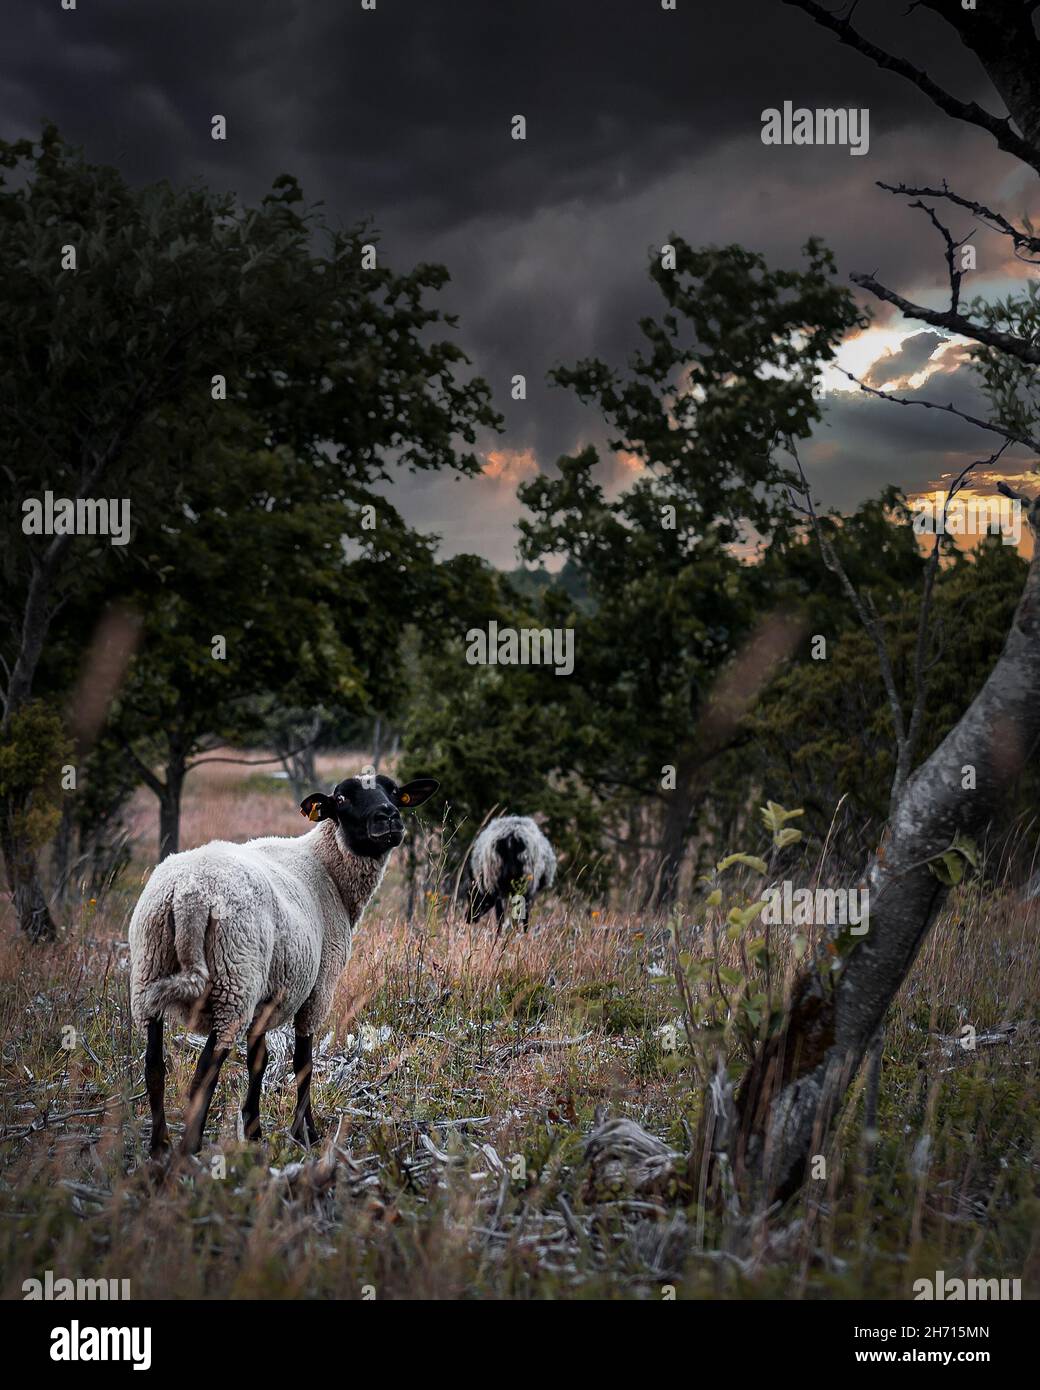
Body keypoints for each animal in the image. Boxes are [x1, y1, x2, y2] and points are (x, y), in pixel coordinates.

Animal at [129, 772, 438, 1159]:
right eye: (341, 799)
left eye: (395, 792)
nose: (389, 818)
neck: (329, 870)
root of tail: (188, 896)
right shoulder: (319, 988)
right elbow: (303, 1063)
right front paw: (307, 1133)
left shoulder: (268, 997)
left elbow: (258, 1060)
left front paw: (254, 1131)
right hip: (234, 981)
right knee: (205, 1071)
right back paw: (190, 1149)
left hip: (149, 971)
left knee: (154, 1065)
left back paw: (160, 1146)